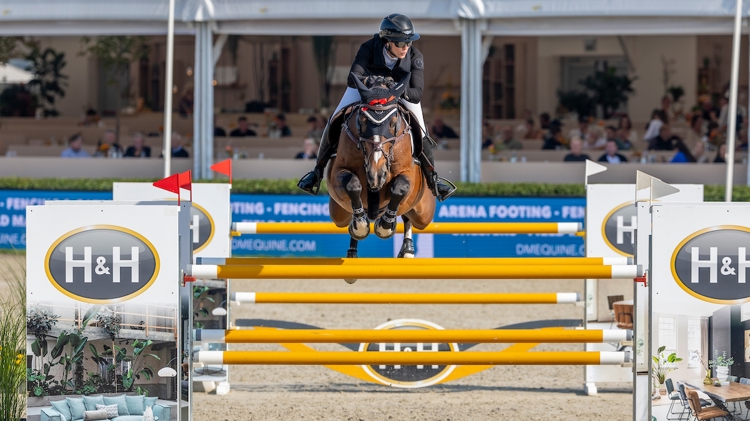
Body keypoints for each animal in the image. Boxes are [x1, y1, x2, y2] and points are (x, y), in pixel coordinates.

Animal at [326, 74, 438, 260]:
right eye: (362, 121)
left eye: (393, 123)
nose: (376, 174)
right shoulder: (338, 171)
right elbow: (352, 185)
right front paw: (360, 226)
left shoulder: (407, 174)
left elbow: (400, 188)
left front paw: (384, 226)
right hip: (338, 213)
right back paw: (353, 245)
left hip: (423, 214)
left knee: (408, 216)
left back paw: (407, 250)